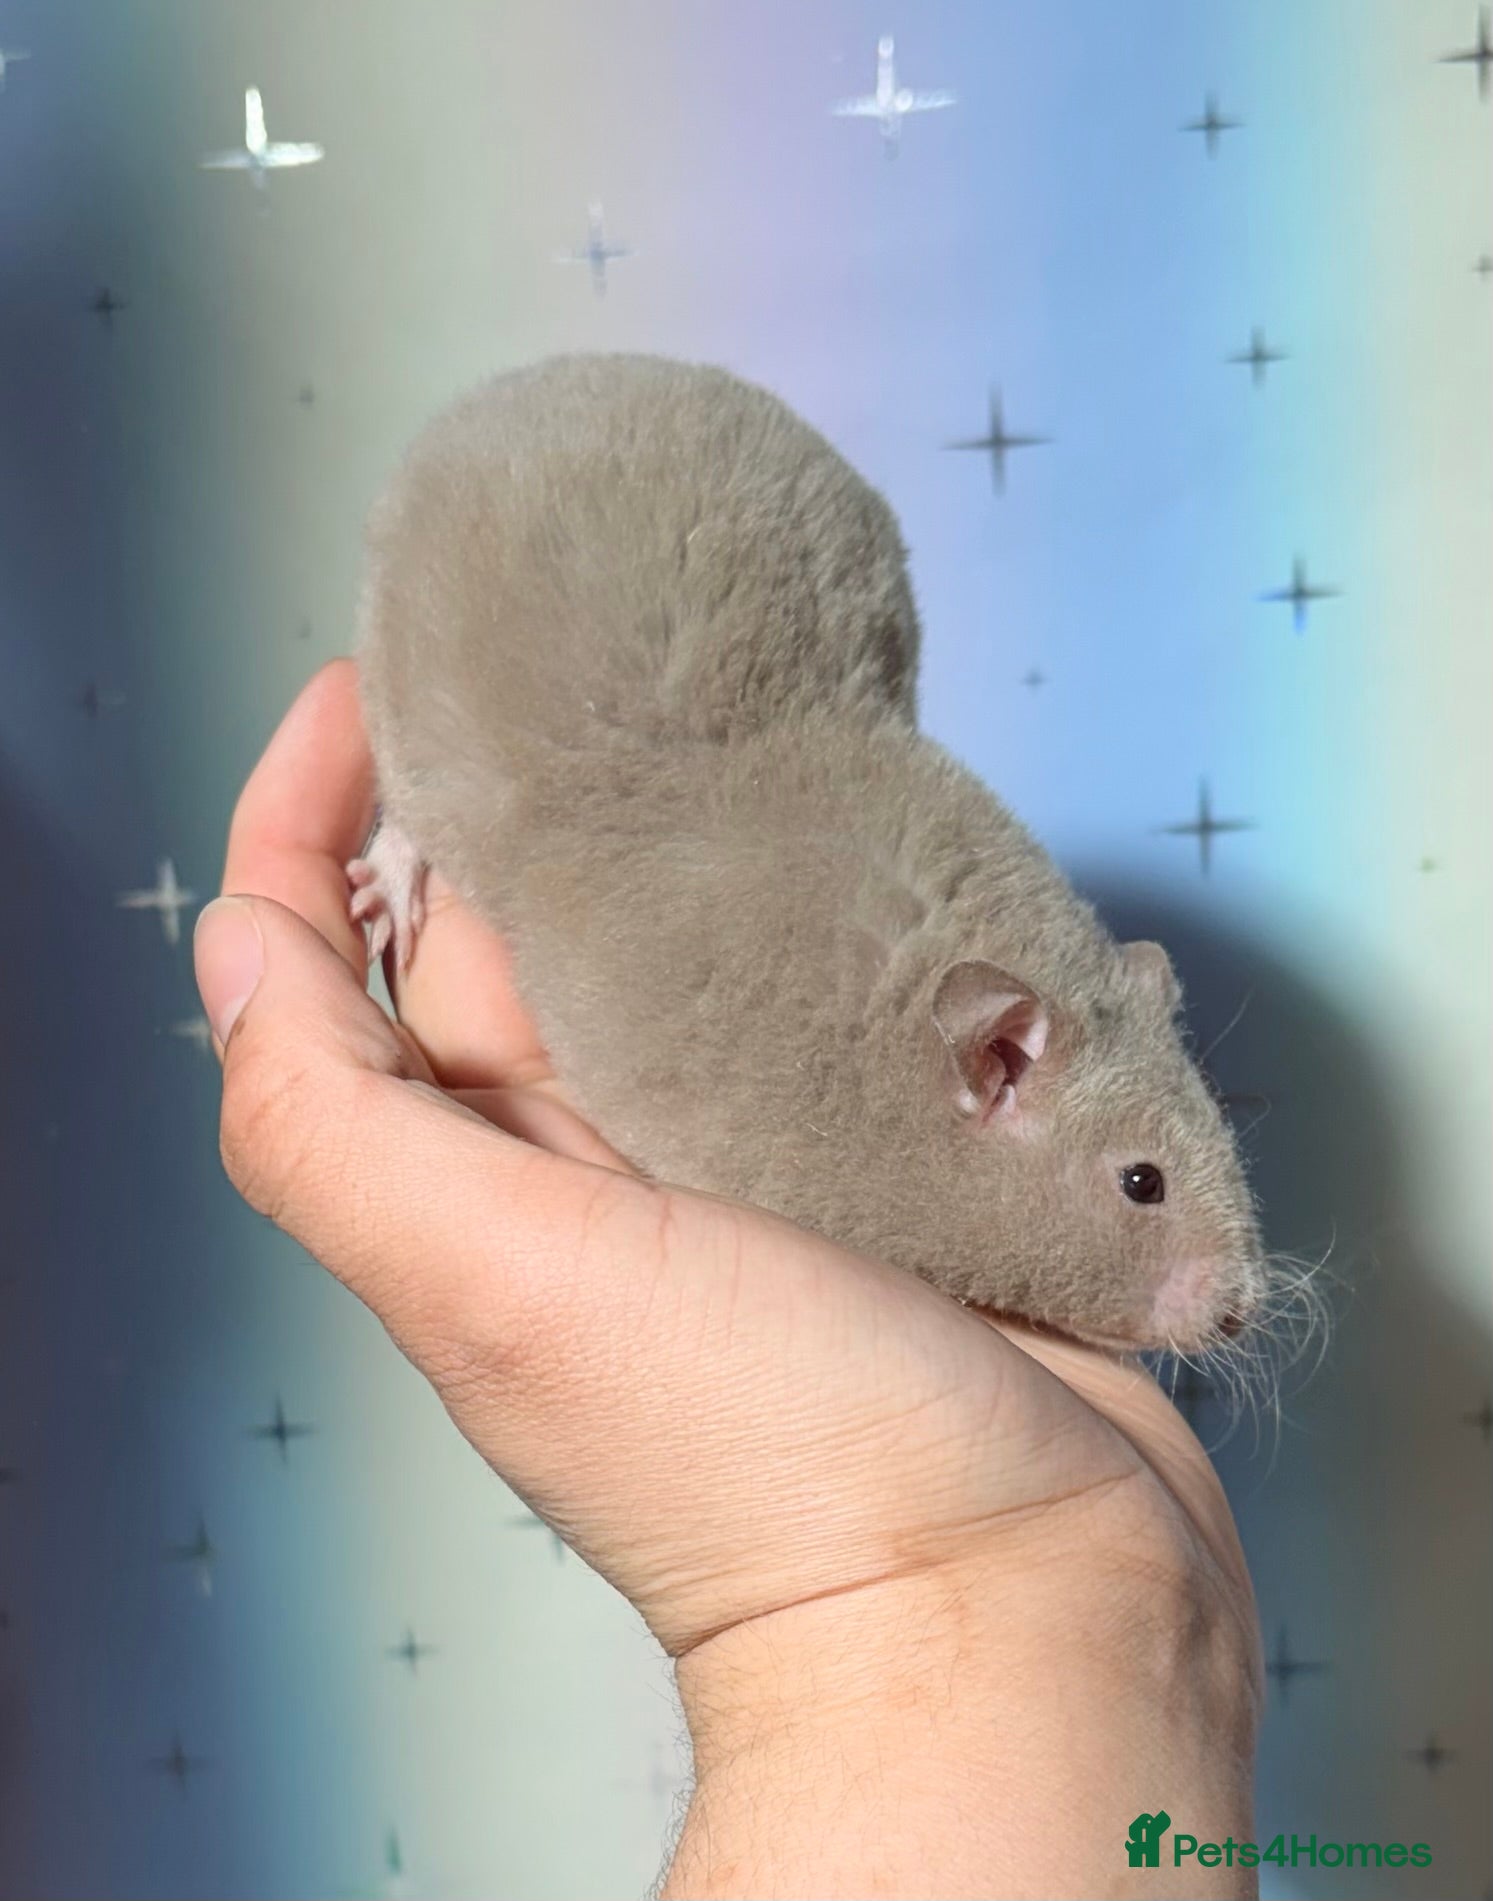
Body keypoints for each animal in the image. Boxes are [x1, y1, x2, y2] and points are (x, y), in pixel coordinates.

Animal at [351, 353, 1267, 1356]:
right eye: (1142, 1183)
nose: (1242, 1307)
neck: (898, 1054)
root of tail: (505, 390)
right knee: (407, 813)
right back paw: (387, 890)